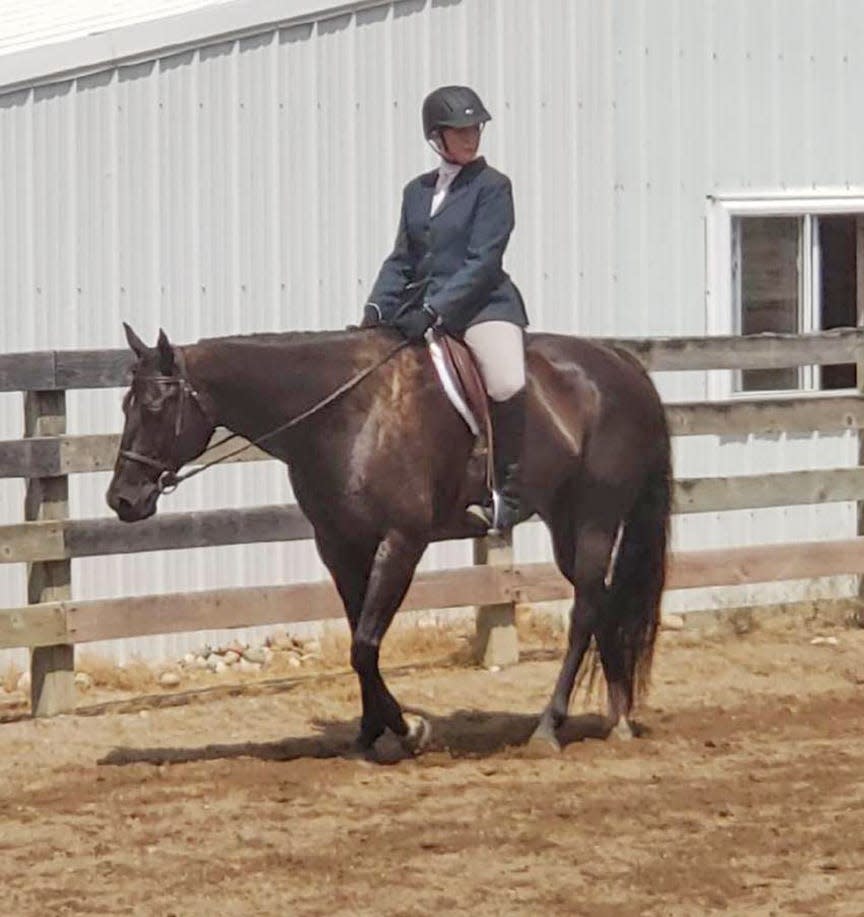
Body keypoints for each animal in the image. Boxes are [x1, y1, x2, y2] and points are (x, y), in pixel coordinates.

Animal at [108, 326, 672, 756]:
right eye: (125, 405)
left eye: (156, 407)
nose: (123, 500)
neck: (343, 415)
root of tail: (621, 362)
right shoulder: (338, 546)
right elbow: (360, 638)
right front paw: (369, 732)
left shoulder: (401, 541)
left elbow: (364, 644)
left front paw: (409, 729)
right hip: (565, 522)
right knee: (600, 600)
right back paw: (619, 718)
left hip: (597, 517)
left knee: (584, 611)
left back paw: (548, 727)